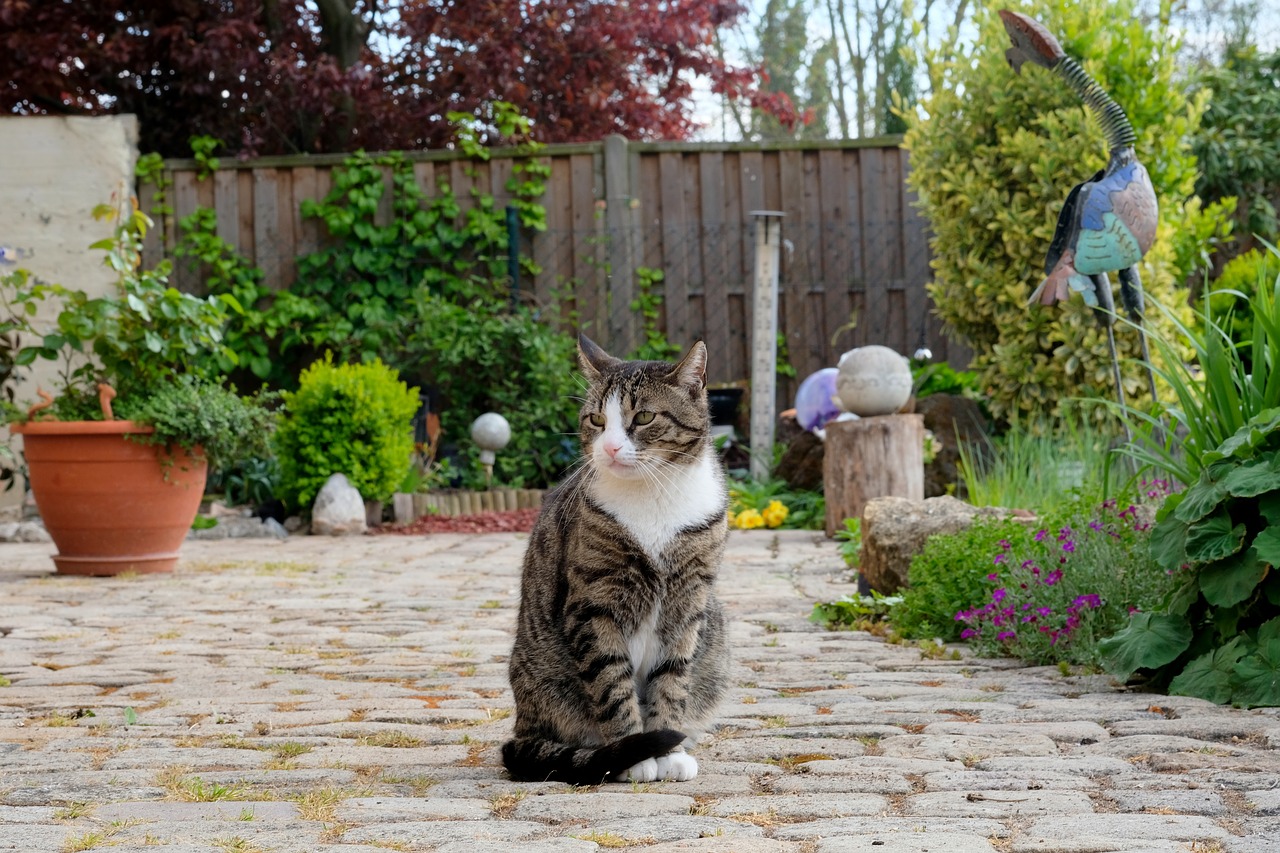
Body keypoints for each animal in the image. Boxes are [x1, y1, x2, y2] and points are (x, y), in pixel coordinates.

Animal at [504, 333, 737, 783]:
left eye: (644, 416)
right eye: (596, 420)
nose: (610, 447)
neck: (653, 496)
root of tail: (522, 725)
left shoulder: (688, 601)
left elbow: (672, 678)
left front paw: (670, 750)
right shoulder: (594, 605)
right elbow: (611, 682)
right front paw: (635, 754)